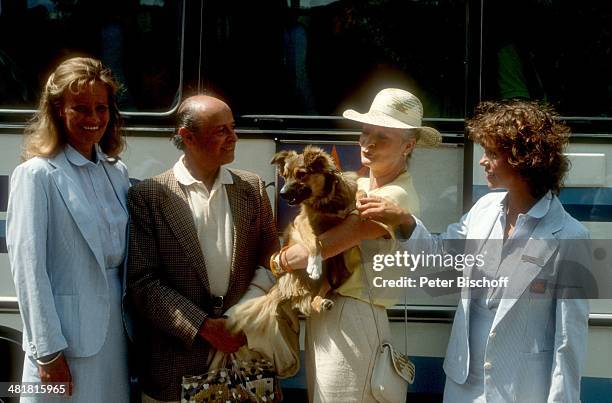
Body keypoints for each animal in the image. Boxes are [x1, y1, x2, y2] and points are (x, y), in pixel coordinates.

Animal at [232, 146, 360, 334]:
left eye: (301, 174)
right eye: (285, 175)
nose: (282, 194)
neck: (325, 201)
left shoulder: (345, 217)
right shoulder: (302, 223)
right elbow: (314, 242)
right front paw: (314, 264)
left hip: (328, 279)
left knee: (314, 299)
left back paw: (322, 302)